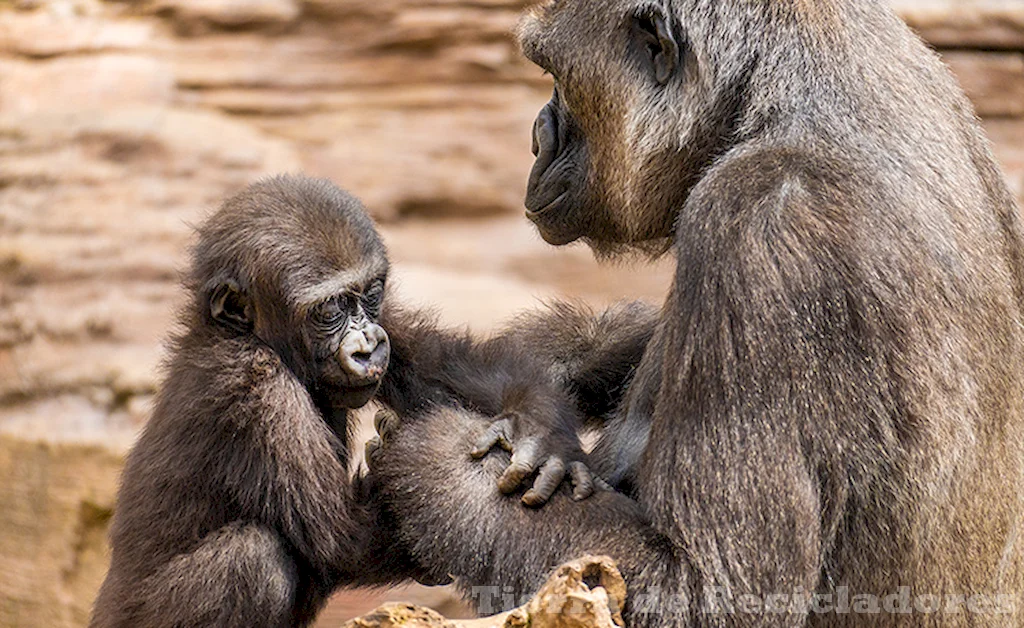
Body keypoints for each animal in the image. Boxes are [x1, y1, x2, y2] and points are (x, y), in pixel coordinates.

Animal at [94, 173, 593, 626]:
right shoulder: (257, 388)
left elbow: (444, 364)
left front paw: (538, 431)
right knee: (253, 559)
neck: (246, 335)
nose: (367, 347)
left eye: (368, 295)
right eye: (330, 309)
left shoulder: (386, 320)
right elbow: (342, 536)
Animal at [366, 1, 1024, 622]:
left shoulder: (759, 225)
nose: (537, 135)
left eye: (553, 73)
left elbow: (709, 593)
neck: (777, 98)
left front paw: (433, 455)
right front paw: (528, 391)